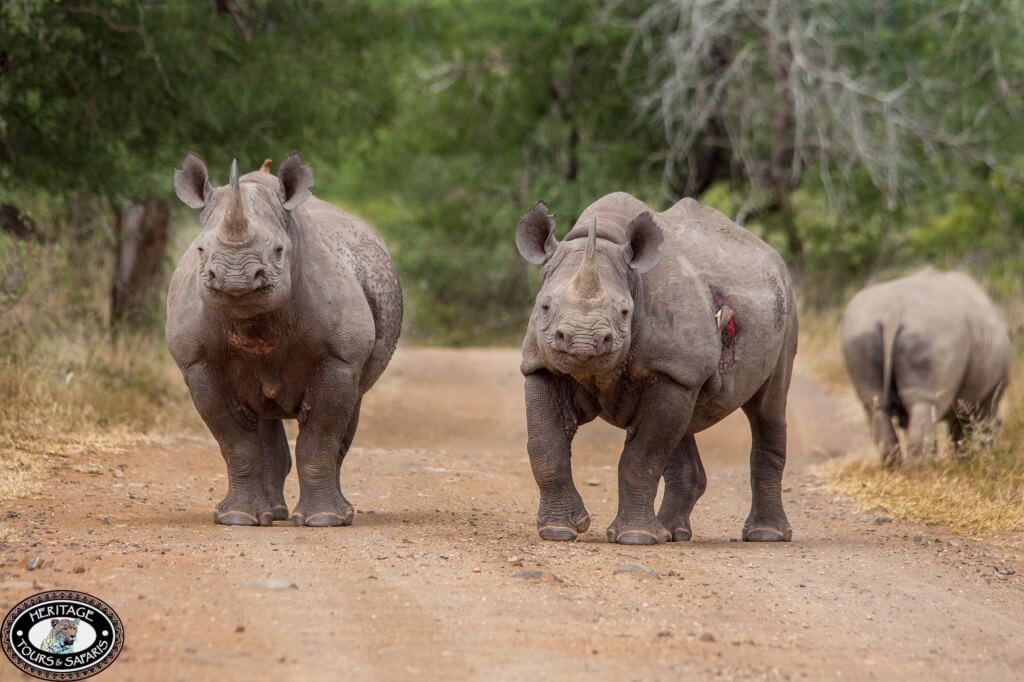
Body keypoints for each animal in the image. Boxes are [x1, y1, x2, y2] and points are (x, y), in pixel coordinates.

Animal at [166, 153, 402, 526]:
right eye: (200, 249)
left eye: (279, 250)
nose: (236, 280)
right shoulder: (198, 363)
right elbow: (235, 442)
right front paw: (236, 519)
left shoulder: (339, 359)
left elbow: (320, 438)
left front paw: (324, 520)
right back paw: (271, 514)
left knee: (351, 410)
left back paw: (340, 513)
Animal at [515, 192, 798, 545]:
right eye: (544, 306)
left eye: (625, 312)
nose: (583, 342)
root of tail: (772, 256)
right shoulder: (541, 366)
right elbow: (545, 445)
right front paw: (558, 530)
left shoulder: (671, 372)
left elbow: (643, 455)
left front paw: (635, 537)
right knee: (685, 423)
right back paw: (672, 533)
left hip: (786, 305)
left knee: (767, 408)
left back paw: (766, 534)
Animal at [840, 268, 1009, 465]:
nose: (994, 454)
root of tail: (894, 313)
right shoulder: (987, 396)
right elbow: (967, 430)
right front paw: (973, 461)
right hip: (933, 332)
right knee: (923, 404)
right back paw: (922, 468)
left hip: (859, 332)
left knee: (876, 406)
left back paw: (897, 467)